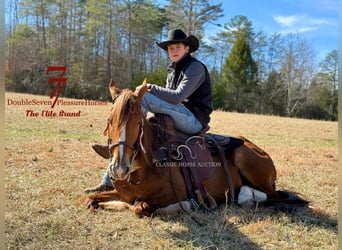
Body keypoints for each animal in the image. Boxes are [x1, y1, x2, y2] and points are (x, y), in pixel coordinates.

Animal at [85, 79, 308, 216]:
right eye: (109, 120)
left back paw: (245, 196)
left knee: (272, 194)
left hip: (244, 157)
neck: (145, 166)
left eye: (138, 122)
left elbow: (139, 208)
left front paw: (187, 205)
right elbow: (91, 200)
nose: (119, 169)